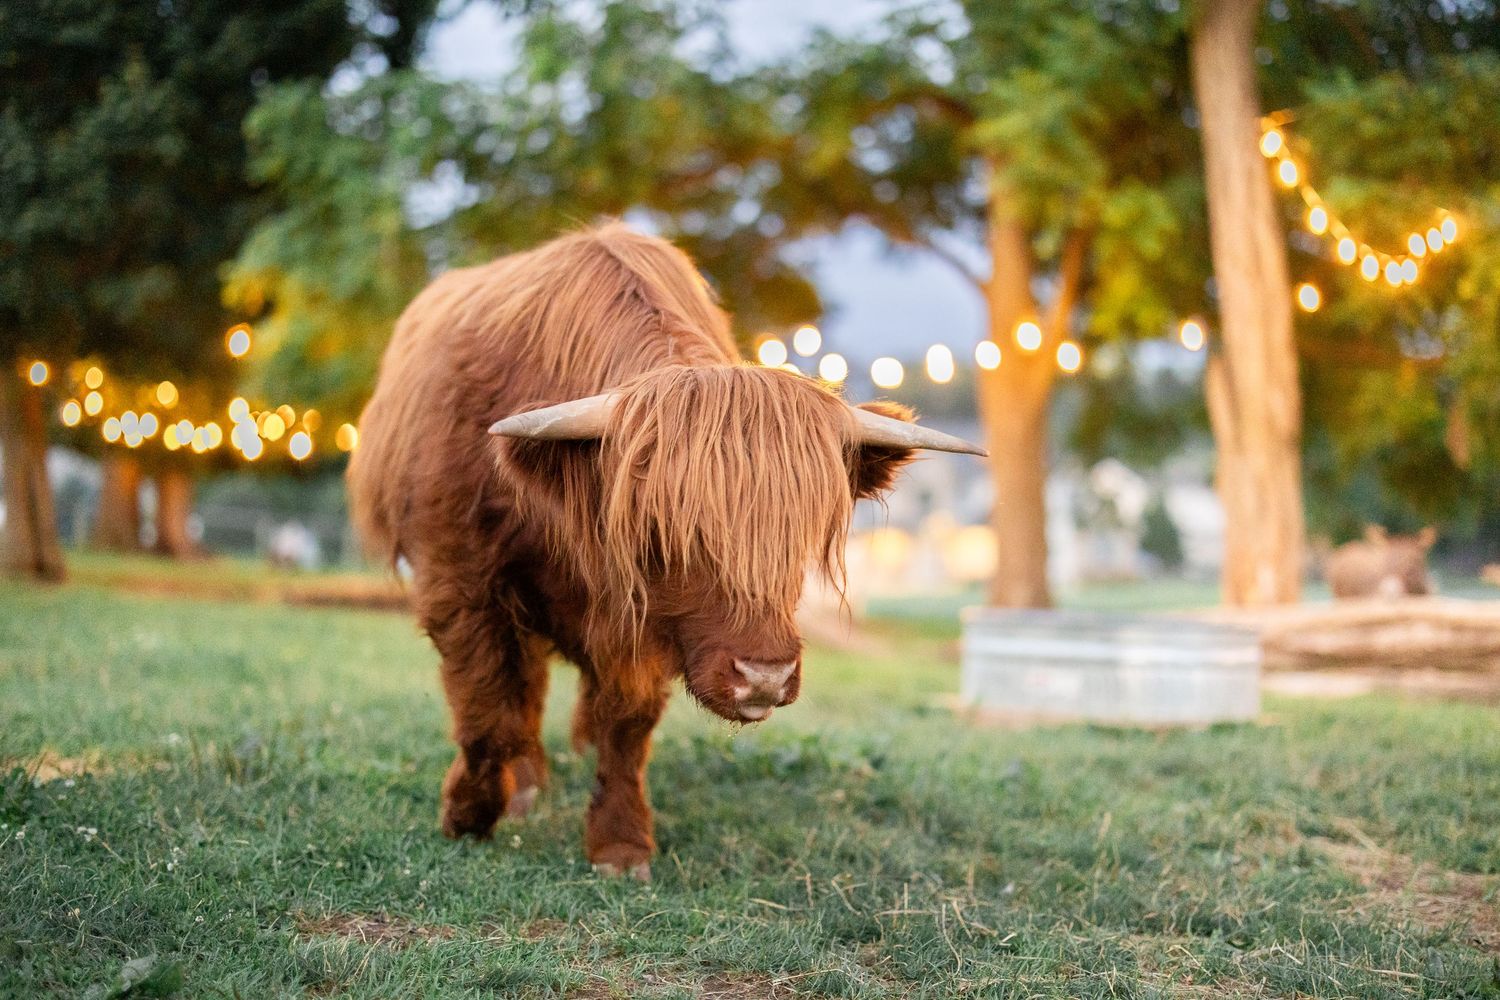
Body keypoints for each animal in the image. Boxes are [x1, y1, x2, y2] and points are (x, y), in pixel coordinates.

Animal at [348, 224, 982, 878]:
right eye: (666, 531)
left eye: (796, 539)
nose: (765, 677)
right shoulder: (460, 583)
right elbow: (484, 708)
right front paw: (469, 815)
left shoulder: (640, 621)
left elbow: (625, 724)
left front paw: (620, 843)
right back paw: (525, 786)